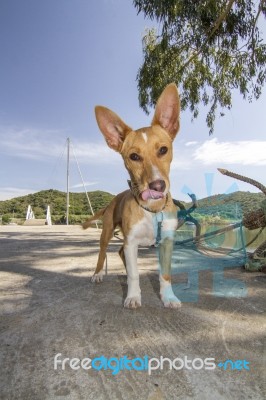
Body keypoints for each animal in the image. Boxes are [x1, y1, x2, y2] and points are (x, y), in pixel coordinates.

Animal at [83, 83, 181, 310]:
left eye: (163, 150)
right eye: (134, 156)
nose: (157, 186)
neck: (152, 211)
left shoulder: (166, 242)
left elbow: (165, 274)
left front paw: (168, 297)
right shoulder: (132, 242)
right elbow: (135, 275)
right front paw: (134, 296)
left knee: (120, 253)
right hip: (107, 233)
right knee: (103, 253)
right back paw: (98, 274)